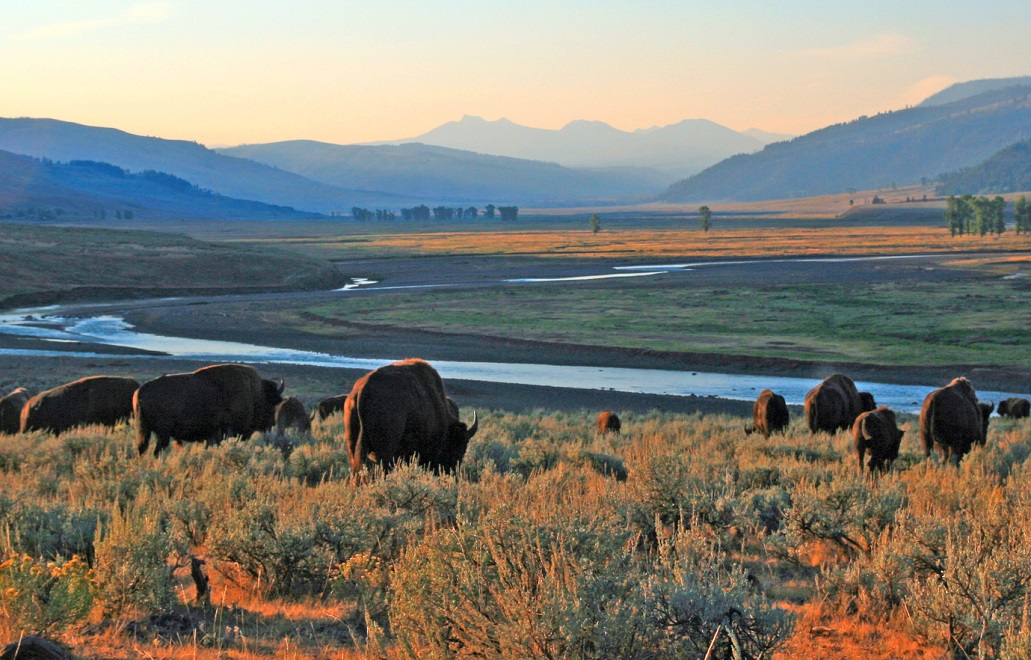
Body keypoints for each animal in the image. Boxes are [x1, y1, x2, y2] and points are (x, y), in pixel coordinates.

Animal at [136, 363, 286, 455]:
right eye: (271, 404)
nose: (272, 423)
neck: (255, 394)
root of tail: (141, 390)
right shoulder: (226, 431)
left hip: (145, 431)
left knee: (142, 449)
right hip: (163, 434)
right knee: (157, 450)